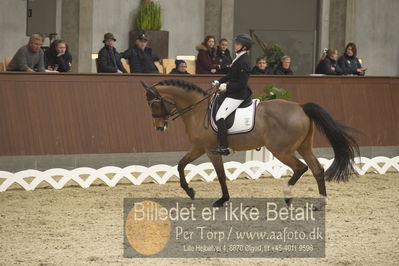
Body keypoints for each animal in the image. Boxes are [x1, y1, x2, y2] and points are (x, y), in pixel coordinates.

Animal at [142, 78, 360, 209]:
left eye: (155, 104)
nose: (159, 127)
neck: (198, 110)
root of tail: (301, 106)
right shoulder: (198, 147)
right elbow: (180, 165)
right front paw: (190, 191)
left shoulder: (211, 151)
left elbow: (220, 175)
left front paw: (222, 199)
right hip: (303, 146)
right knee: (317, 169)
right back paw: (320, 202)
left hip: (281, 150)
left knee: (301, 167)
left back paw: (288, 195)